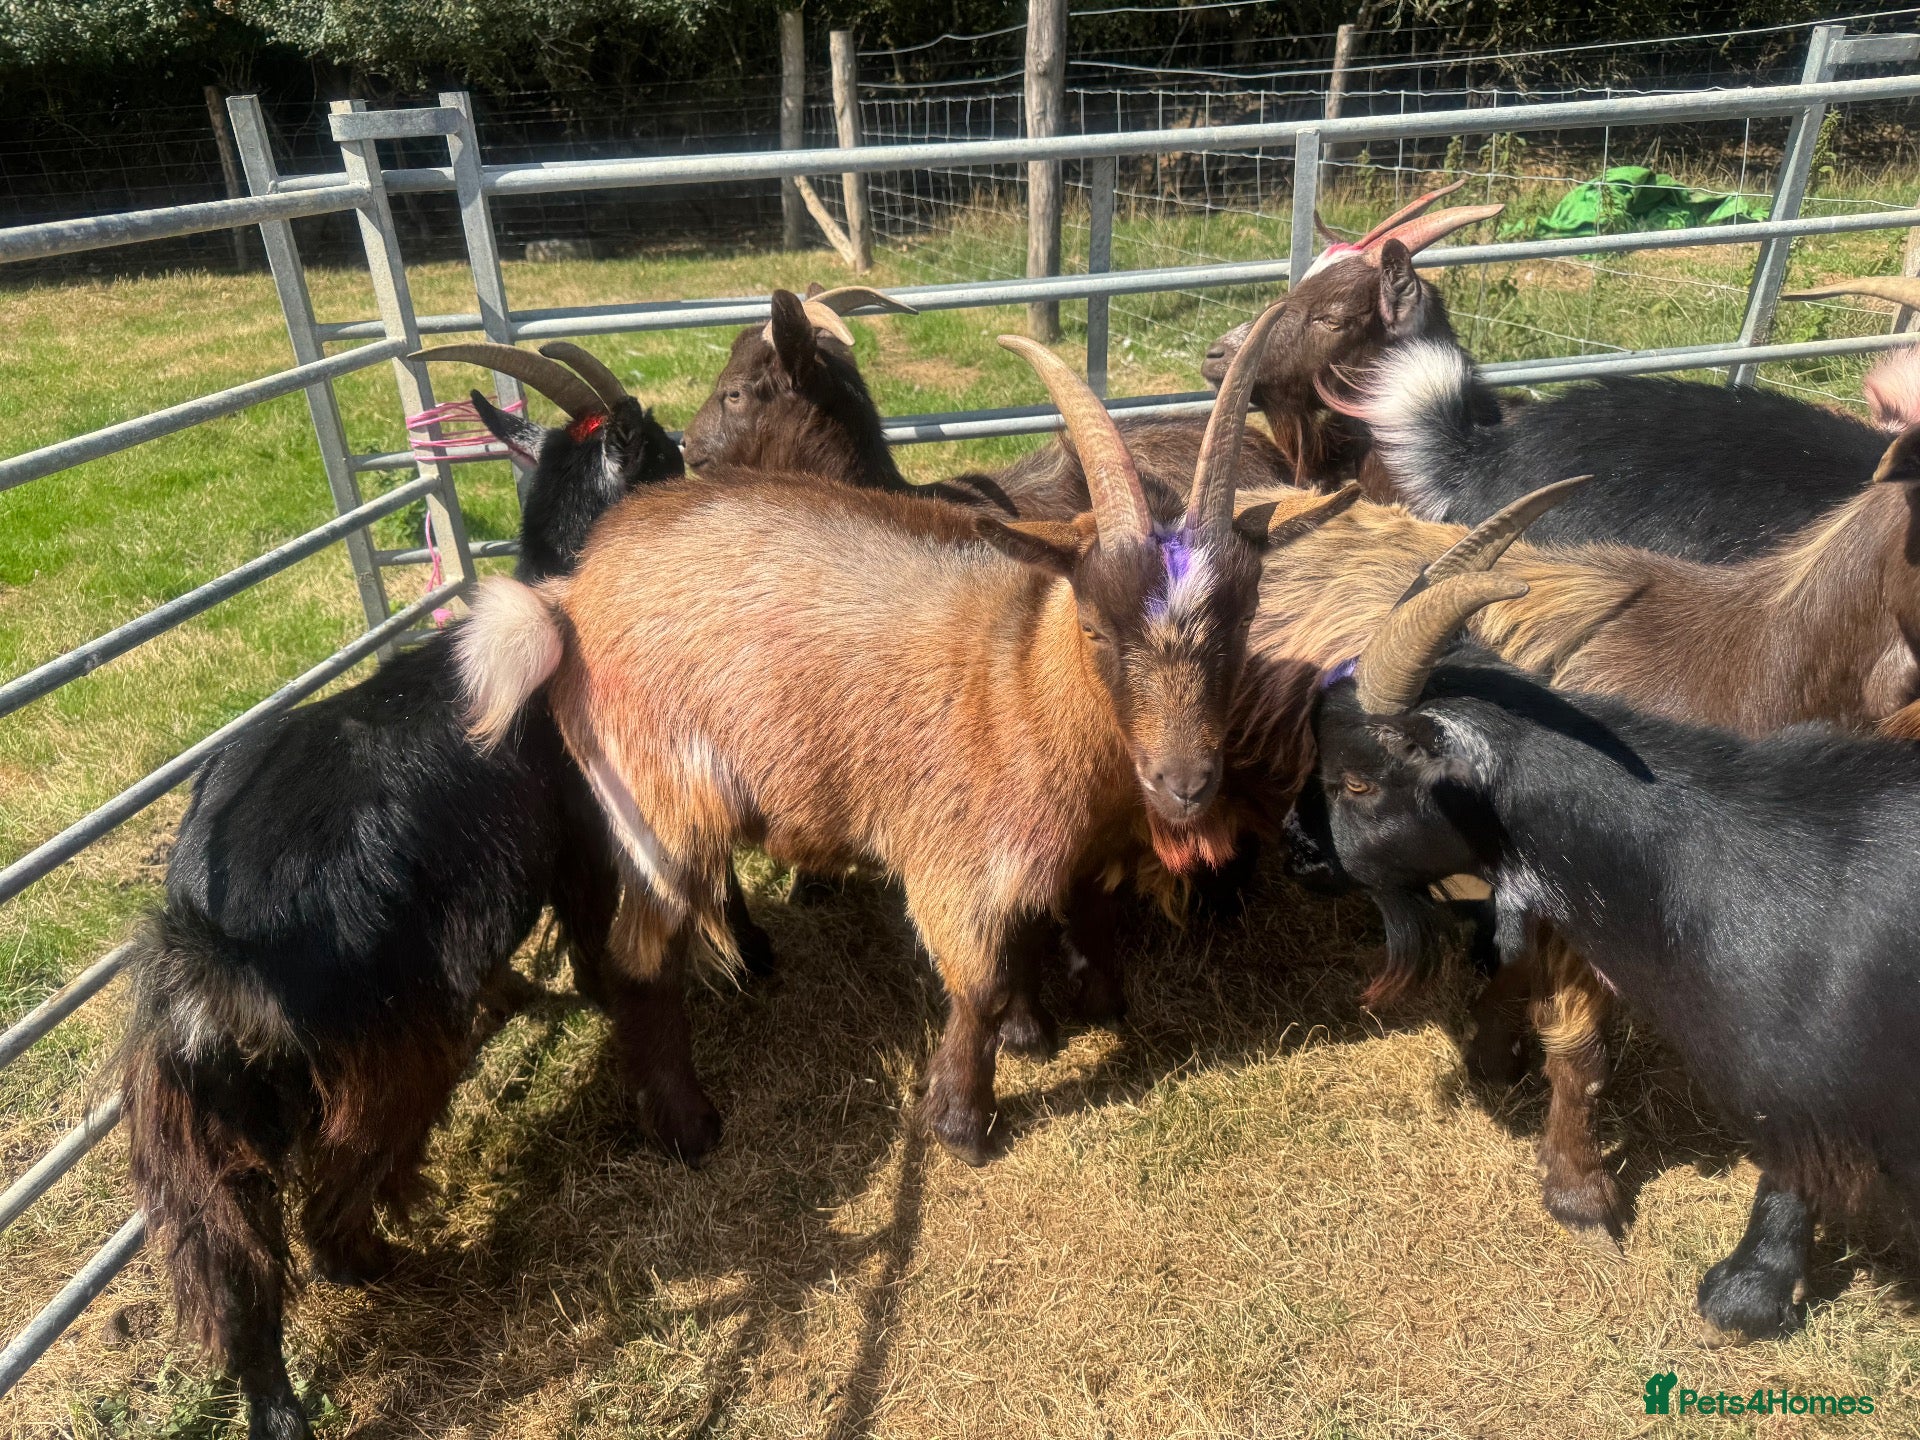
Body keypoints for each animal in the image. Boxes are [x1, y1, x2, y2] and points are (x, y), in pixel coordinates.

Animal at [119, 342, 749, 1440]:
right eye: (664, 453)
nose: (711, 471)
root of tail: (211, 948)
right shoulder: (590, 839)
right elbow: (614, 951)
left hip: (203, 1126)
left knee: (239, 1269)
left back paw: (282, 1407)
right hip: (388, 1054)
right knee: (331, 1211)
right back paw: (409, 1262)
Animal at [455, 303, 1292, 1168]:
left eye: (1243, 621)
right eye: (1095, 627)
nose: (1184, 782)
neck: (1021, 673)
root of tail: (570, 594)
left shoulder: (1039, 851)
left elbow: (1036, 935)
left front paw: (1039, 1030)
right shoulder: (954, 854)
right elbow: (982, 985)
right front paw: (961, 1122)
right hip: (657, 801)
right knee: (640, 956)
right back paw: (688, 1126)